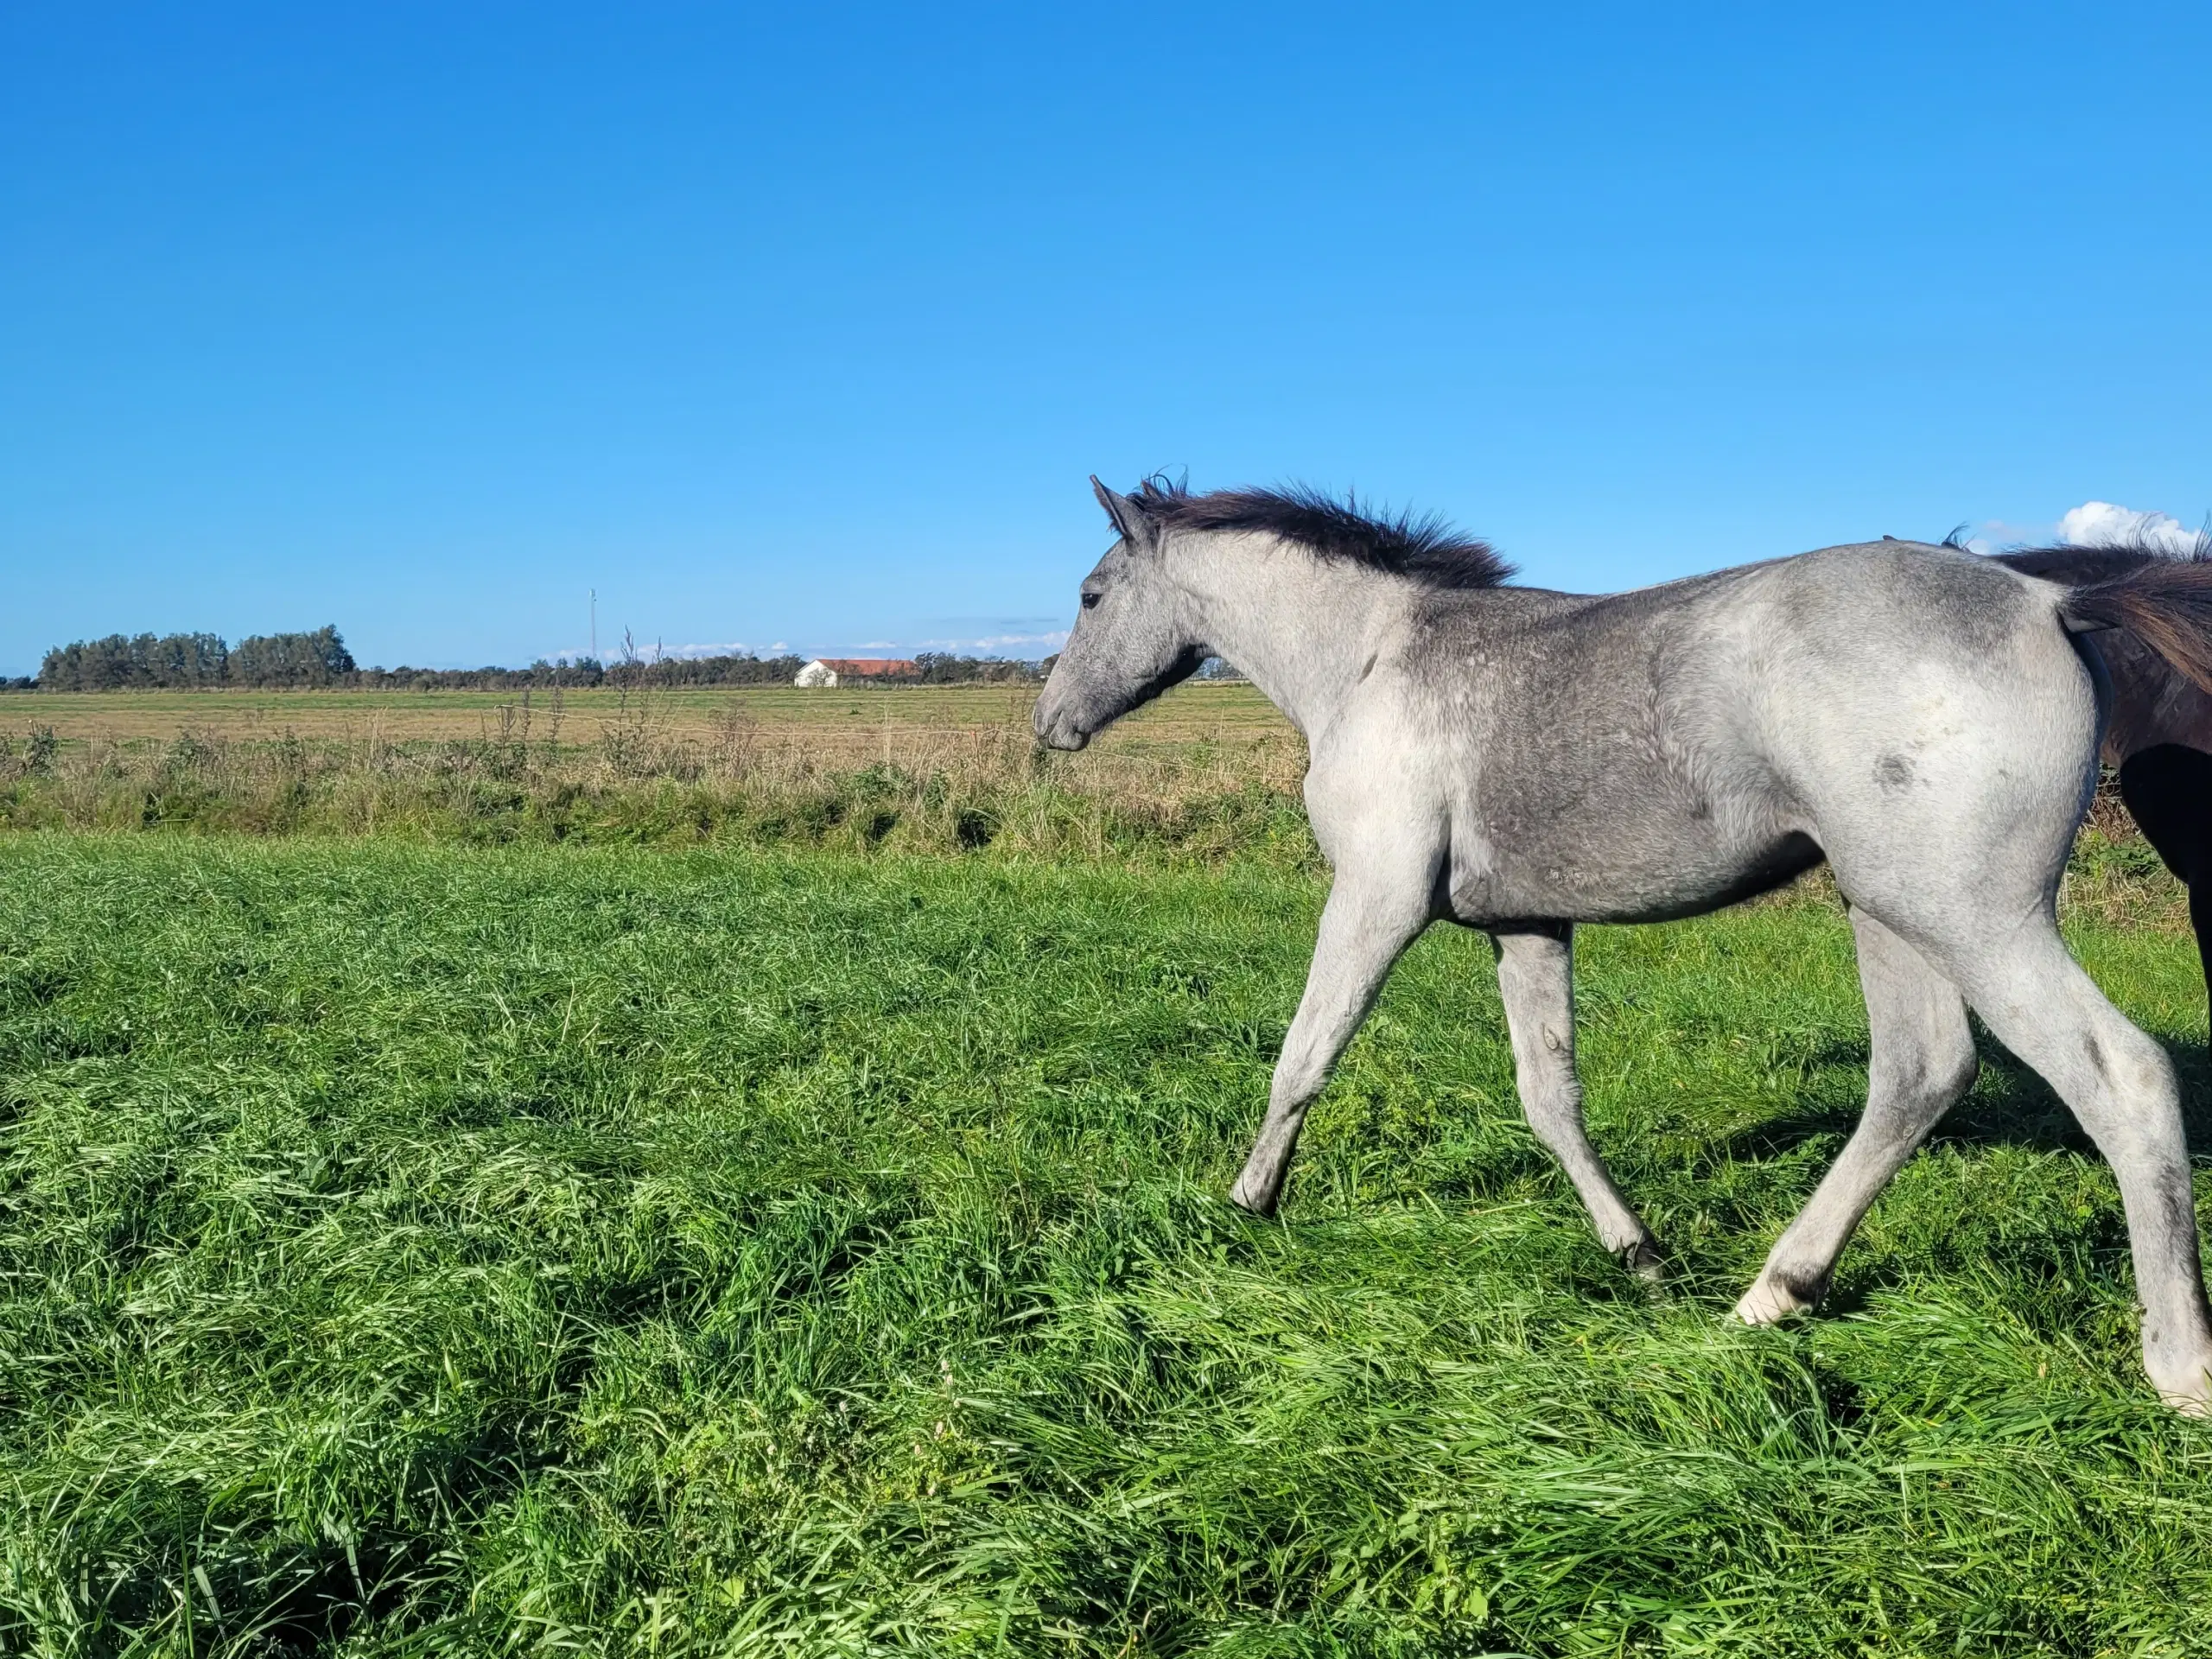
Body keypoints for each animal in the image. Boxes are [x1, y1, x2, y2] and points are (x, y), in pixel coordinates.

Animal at [1035, 477, 2212, 1415]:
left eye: (1090, 595)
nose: (1050, 724)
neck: (1372, 659)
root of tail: (2046, 599)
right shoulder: (1524, 924)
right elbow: (1548, 1094)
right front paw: (1638, 1254)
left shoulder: (1374, 900)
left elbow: (1304, 1056)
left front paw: (1246, 1206)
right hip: (1891, 910)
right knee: (1918, 1077)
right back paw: (1770, 1295)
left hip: (1975, 918)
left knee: (2121, 1077)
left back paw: (2178, 1365)